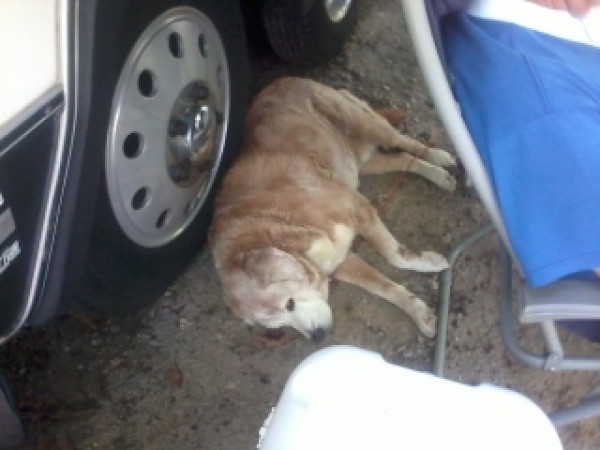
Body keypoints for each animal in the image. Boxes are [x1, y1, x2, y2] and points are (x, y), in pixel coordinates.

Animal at [210, 77, 454, 342]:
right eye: (276, 328)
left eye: (289, 304)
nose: (317, 337)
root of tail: (282, 80)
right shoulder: (342, 260)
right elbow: (384, 287)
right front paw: (419, 312)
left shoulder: (357, 206)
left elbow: (394, 255)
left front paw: (429, 263)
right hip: (359, 162)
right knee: (402, 160)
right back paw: (437, 174)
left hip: (365, 123)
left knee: (405, 141)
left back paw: (440, 159)